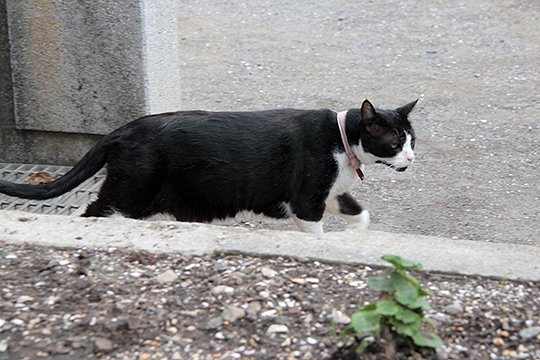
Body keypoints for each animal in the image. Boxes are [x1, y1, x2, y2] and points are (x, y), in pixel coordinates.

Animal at [0, 98, 418, 235]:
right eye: (395, 143)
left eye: (414, 140)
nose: (413, 158)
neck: (341, 140)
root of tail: (122, 130)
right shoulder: (306, 201)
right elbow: (314, 233)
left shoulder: (329, 193)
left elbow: (359, 213)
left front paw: (355, 237)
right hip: (128, 193)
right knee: (92, 212)